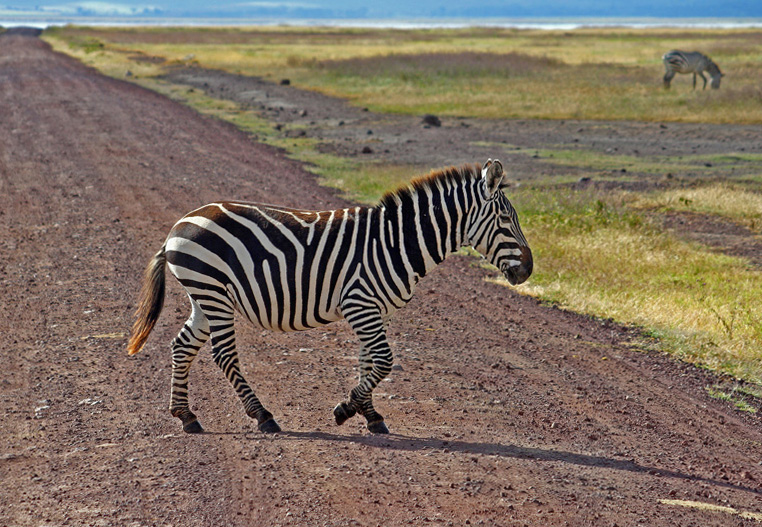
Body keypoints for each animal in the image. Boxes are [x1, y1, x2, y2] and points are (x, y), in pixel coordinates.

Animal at [126, 160, 528, 438]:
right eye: (507, 220)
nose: (528, 271)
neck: (395, 242)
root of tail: (179, 224)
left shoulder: (372, 308)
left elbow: (369, 361)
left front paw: (369, 415)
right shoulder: (359, 303)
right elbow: (383, 360)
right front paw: (345, 409)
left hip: (206, 297)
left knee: (182, 346)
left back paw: (186, 416)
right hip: (213, 293)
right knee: (223, 355)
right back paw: (263, 416)